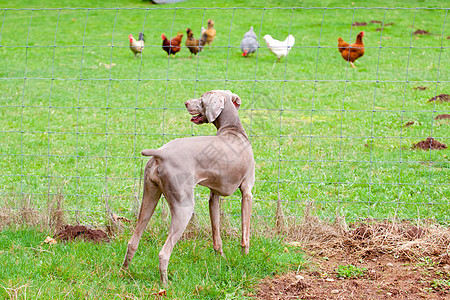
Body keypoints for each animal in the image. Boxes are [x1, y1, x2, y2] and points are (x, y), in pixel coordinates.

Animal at [123, 89, 255, 286]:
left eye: (202, 98)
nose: (185, 102)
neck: (233, 129)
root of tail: (160, 153)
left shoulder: (213, 197)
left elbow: (216, 233)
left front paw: (221, 259)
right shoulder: (247, 192)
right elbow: (245, 234)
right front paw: (245, 258)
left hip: (149, 198)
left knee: (133, 241)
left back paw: (124, 273)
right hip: (184, 206)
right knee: (164, 253)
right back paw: (165, 284)